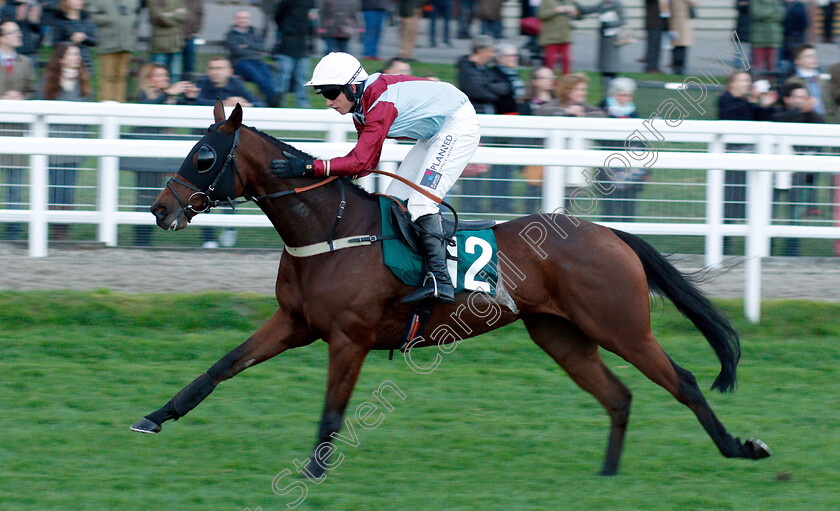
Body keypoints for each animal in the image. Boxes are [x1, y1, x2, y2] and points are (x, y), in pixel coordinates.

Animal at [135, 102, 772, 478]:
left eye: (204, 156)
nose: (159, 208)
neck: (330, 229)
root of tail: (609, 232)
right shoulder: (295, 324)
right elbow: (220, 367)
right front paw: (156, 416)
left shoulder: (349, 337)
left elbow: (333, 409)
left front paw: (314, 471)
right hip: (562, 335)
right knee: (618, 397)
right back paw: (608, 476)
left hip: (621, 325)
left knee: (683, 382)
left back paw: (740, 447)